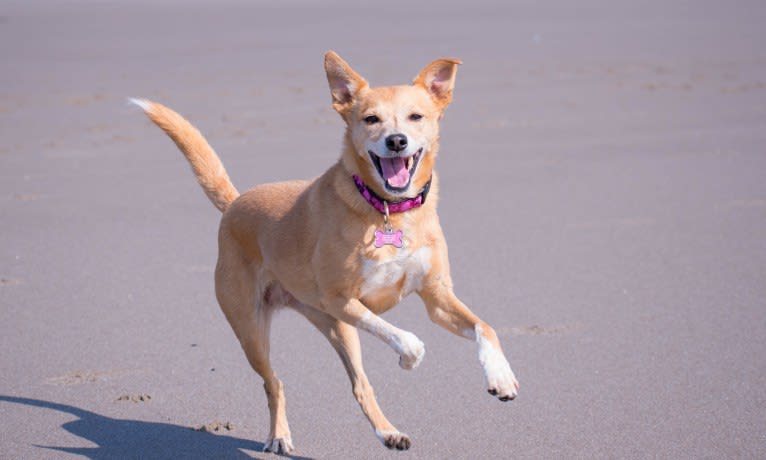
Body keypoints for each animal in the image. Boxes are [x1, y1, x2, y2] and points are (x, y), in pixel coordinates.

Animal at [134, 49, 520, 452]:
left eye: (416, 116)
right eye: (370, 119)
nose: (397, 141)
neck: (387, 211)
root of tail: (235, 203)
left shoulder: (436, 297)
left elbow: (485, 327)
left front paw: (501, 377)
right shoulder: (342, 300)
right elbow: (402, 335)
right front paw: (409, 356)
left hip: (333, 326)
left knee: (358, 386)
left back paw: (388, 433)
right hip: (256, 329)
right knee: (276, 382)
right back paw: (281, 435)